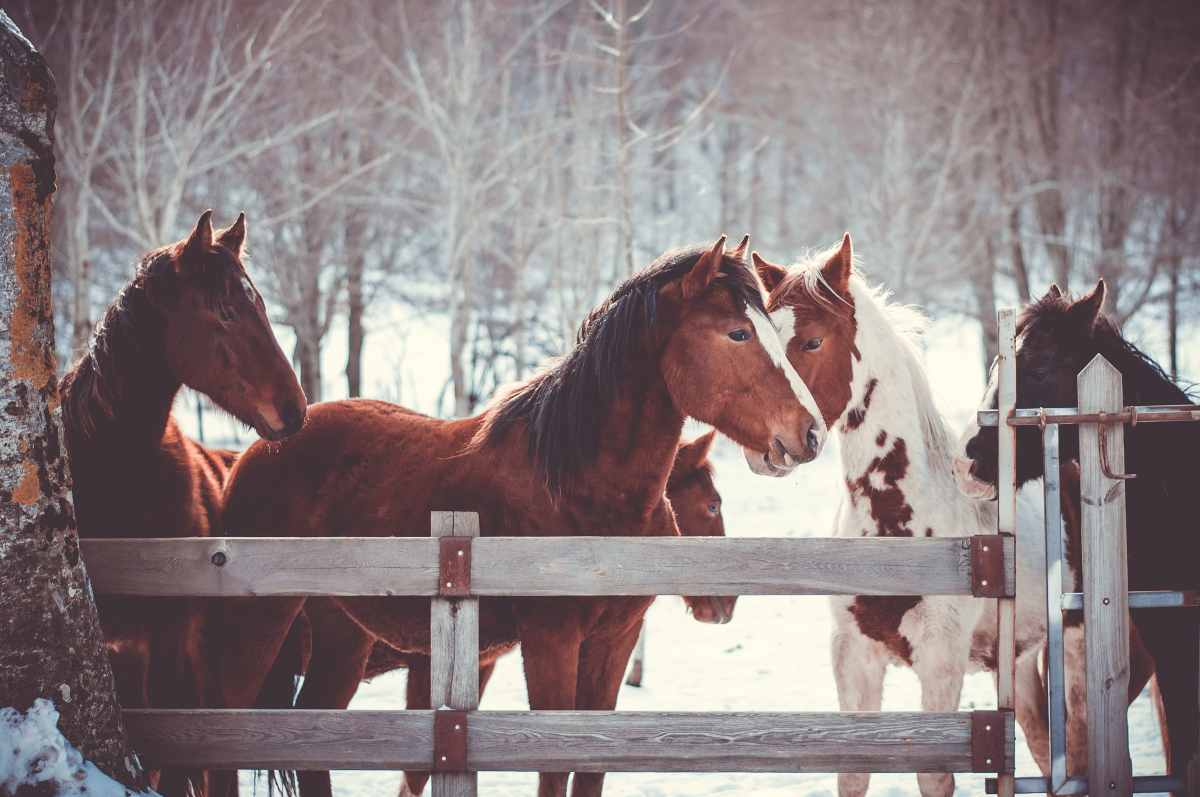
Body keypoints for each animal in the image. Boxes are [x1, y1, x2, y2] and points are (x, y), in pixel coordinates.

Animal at [748, 237, 1152, 797]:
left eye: (811, 341)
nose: (770, 447)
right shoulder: (853, 657)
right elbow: (852, 773)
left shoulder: (940, 662)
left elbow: (935, 777)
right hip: (1019, 664)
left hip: (1076, 652)